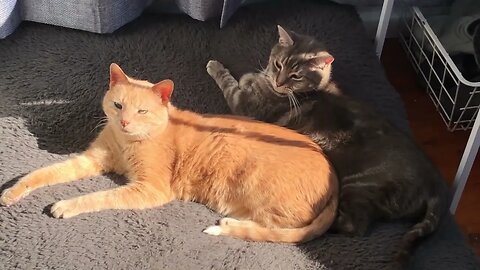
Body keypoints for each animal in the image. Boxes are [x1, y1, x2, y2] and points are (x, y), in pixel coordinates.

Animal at [0, 64, 338, 244]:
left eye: (142, 111)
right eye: (118, 105)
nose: (124, 122)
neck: (126, 142)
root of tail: (334, 177)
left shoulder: (150, 188)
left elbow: (98, 197)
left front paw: (65, 205)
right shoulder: (90, 159)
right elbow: (41, 173)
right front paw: (12, 192)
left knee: (277, 230)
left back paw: (227, 225)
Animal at [206, 25, 450, 266]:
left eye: (296, 76)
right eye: (279, 64)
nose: (279, 81)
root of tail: (435, 187)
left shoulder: (244, 105)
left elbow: (230, 82)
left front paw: (216, 66)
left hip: (358, 187)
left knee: (350, 226)